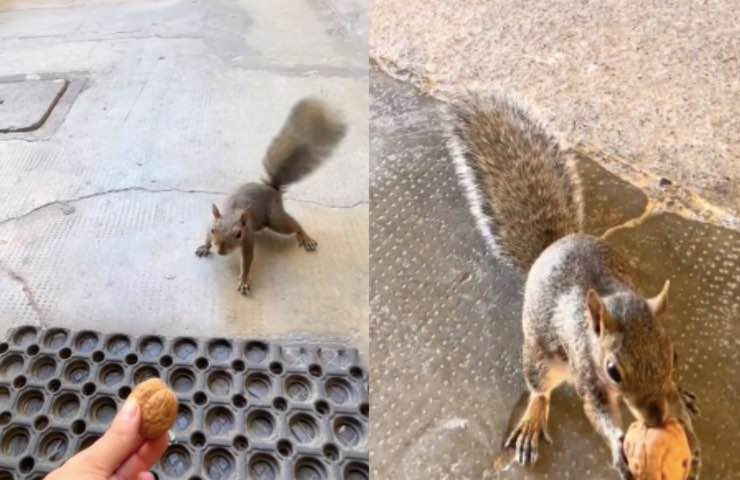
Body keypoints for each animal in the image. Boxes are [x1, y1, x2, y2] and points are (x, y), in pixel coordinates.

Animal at [195, 97, 346, 295]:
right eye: (214, 230)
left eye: (238, 234)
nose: (220, 251)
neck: (232, 213)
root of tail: (272, 189)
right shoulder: (209, 223)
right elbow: (206, 236)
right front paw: (205, 246)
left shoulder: (248, 238)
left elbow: (248, 260)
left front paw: (244, 280)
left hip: (275, 219)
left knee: (293, 225)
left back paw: (305, 237)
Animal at [446, 96, 700, 479]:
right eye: (613, 371)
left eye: (673, 355)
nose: (657, 420)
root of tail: (554, 245)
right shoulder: (586, 372)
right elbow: (597, 412)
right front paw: (617, 444)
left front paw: (689, 434)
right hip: (540, 356)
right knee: (539, 390)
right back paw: (532, 422)